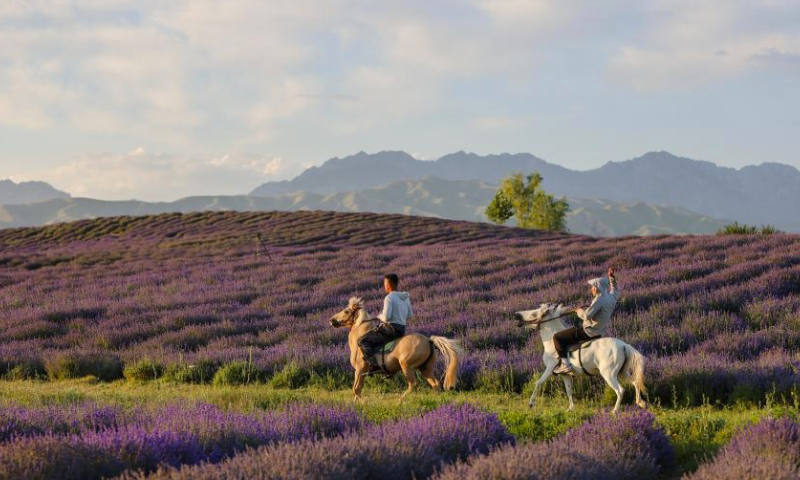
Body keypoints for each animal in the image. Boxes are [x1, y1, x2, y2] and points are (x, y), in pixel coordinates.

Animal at [326, 296, 462, 402]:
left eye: (346, 311)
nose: (331, 320)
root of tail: (429, 340)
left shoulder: (360, 368)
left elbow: (355, 390)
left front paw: (364, 403)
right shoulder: (360, 372)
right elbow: (357, 389)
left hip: (407, 366)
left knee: (413, 385)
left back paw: (400, 400)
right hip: (425, 368)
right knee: (435, 384)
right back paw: (438, 400)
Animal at [516, 304, 648, 412]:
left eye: (534, 314)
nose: (517, 315)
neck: (551, 343)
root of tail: (624, 345)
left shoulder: (550, 368)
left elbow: (538, 383)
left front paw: (531, 403)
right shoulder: (565, 375)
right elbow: (569, 390)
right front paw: (570, 408)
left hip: (609, 374)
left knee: (620, 391)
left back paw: (615, 411)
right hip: (622, 373)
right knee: (635, 382)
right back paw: (640, 403)